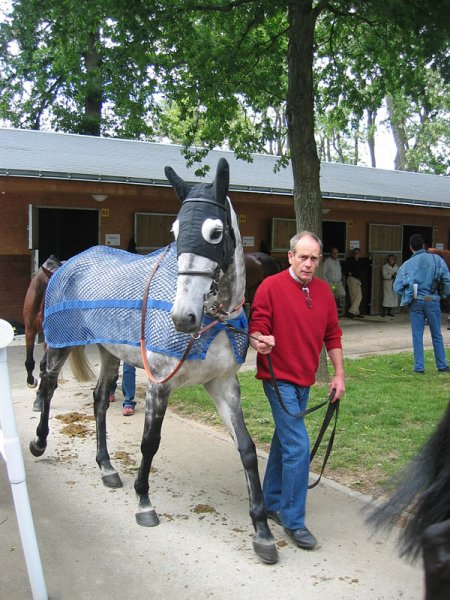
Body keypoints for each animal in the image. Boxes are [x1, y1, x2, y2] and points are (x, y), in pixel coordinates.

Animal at [29, 158, 278, 564]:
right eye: (175, 230)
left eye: (216, 232)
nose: (182, 317)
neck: (210, 320)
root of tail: (69, 263)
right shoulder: (161, 384)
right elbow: (150, 442)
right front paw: (144, 502)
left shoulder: (224, 385)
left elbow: (246, 449)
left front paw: (262, 530)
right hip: (59, 343)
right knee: (48, 386)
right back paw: (39, 442)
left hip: (109, 352)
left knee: (99, 400)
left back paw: (107, 467)